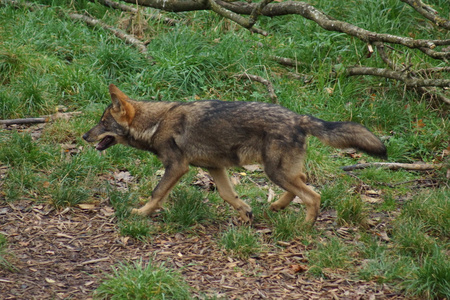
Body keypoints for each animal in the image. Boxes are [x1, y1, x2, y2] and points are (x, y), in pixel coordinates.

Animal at [82, 84, 384, 225]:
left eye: (103, 123)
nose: (84, 136)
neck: (155, 123)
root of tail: (299, 118)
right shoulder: (215, 168)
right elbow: (229, 195)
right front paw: (246, 213)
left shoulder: (178, 167)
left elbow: (156, 194)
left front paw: (140, 213)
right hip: (280, 171)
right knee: (304, 181)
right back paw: (277, 207)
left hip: (274, 171)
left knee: (313, 196)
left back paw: (304, 227)